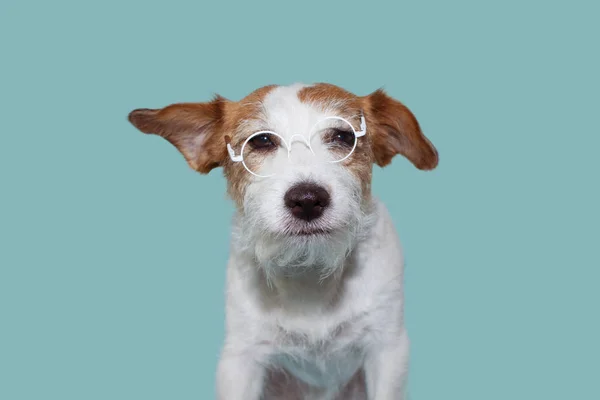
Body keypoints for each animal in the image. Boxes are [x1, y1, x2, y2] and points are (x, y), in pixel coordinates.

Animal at [127, 83, 436, 398]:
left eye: (344, 136)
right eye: (262, 140)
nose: (308, 200)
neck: (309, 274)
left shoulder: (386, 349)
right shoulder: (241, 359)